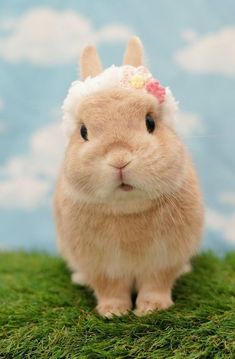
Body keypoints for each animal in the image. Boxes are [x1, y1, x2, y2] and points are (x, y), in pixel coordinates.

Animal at [53, 36, 204, 318]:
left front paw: (152, 309)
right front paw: (113, 312)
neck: (127, 209)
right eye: (83, 131)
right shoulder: (100, 265)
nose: (119, 159)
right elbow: (110, 288)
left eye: (150, 122)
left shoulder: (164, 260)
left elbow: (156, 284)